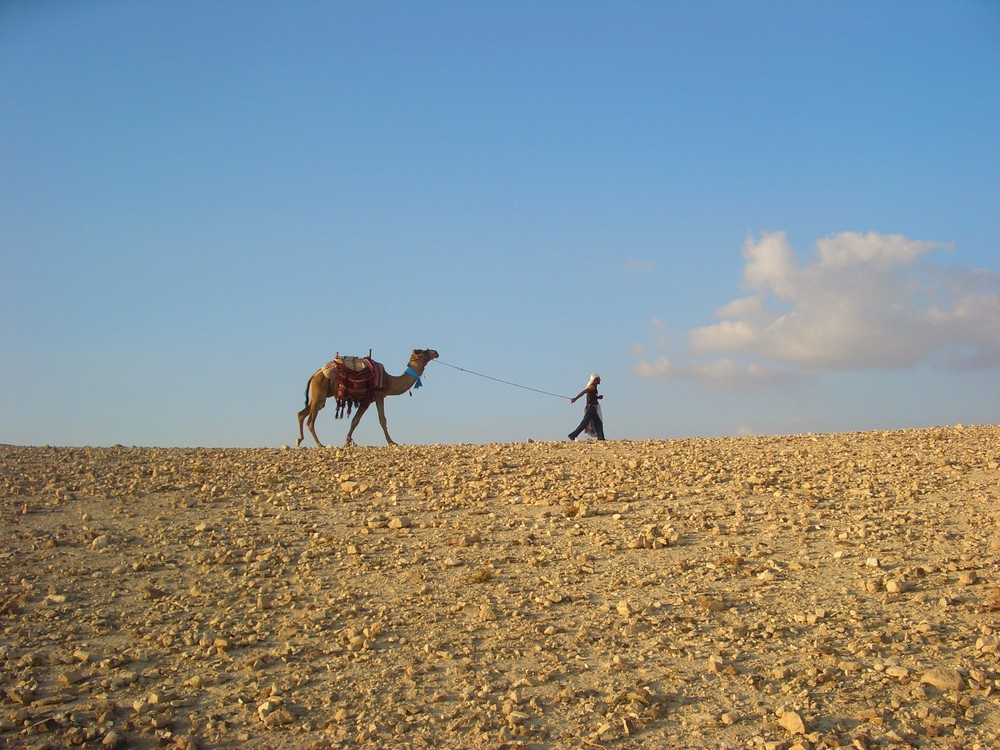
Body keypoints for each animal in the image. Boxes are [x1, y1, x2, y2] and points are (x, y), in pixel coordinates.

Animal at [294, 350, 440, 450]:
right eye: (424, 352)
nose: (435, 352)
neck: (389, 380)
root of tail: (315, 374)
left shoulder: (367, 400)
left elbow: (355, 421)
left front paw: (347, 442)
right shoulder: (378, 395)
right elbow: (382, 420)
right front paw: (392, 442)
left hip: (317, 395)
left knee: (301, 413)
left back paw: (299, 440)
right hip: (320, 392)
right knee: (310, 420)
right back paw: (320, 444)